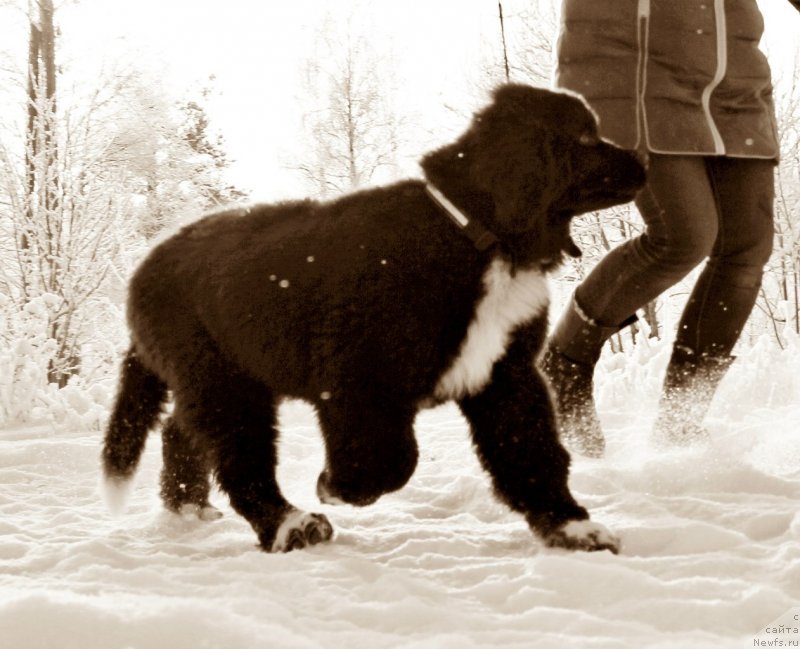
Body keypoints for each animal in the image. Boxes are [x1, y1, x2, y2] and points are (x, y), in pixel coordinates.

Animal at [103, 83, 648, 556]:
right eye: (584, 138)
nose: (645, 163)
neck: (475, 236)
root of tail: (142, 271)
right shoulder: (359, 380)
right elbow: (393, 459)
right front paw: (335, 486)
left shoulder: (506, 374)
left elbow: (532, 452)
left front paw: (571, 528)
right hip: (223, 381)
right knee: (241, 459)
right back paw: (289, 525)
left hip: (224, 374)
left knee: (181, 431)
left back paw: (188, 507)